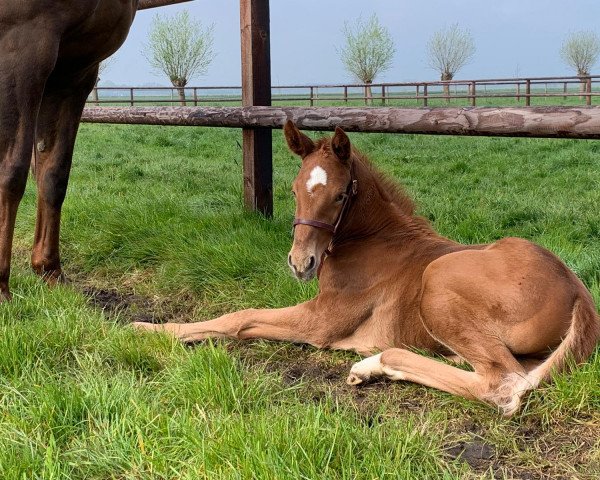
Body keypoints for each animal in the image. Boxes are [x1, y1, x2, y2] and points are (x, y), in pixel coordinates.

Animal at [0, 0, 146, 300]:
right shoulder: (20, 48)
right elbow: (12, 171)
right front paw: (0, 290)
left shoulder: (73, 74)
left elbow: (54, 175)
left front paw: (49, 270)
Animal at [134, 121, 596, 416]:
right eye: (294, 189)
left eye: (340, 195)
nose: (301, 263)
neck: (372, 241)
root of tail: (580, 296)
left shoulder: (320, 321)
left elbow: (239, 318)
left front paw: (147, 329)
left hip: (438, 279)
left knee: (504, 385)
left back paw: (372, 364)